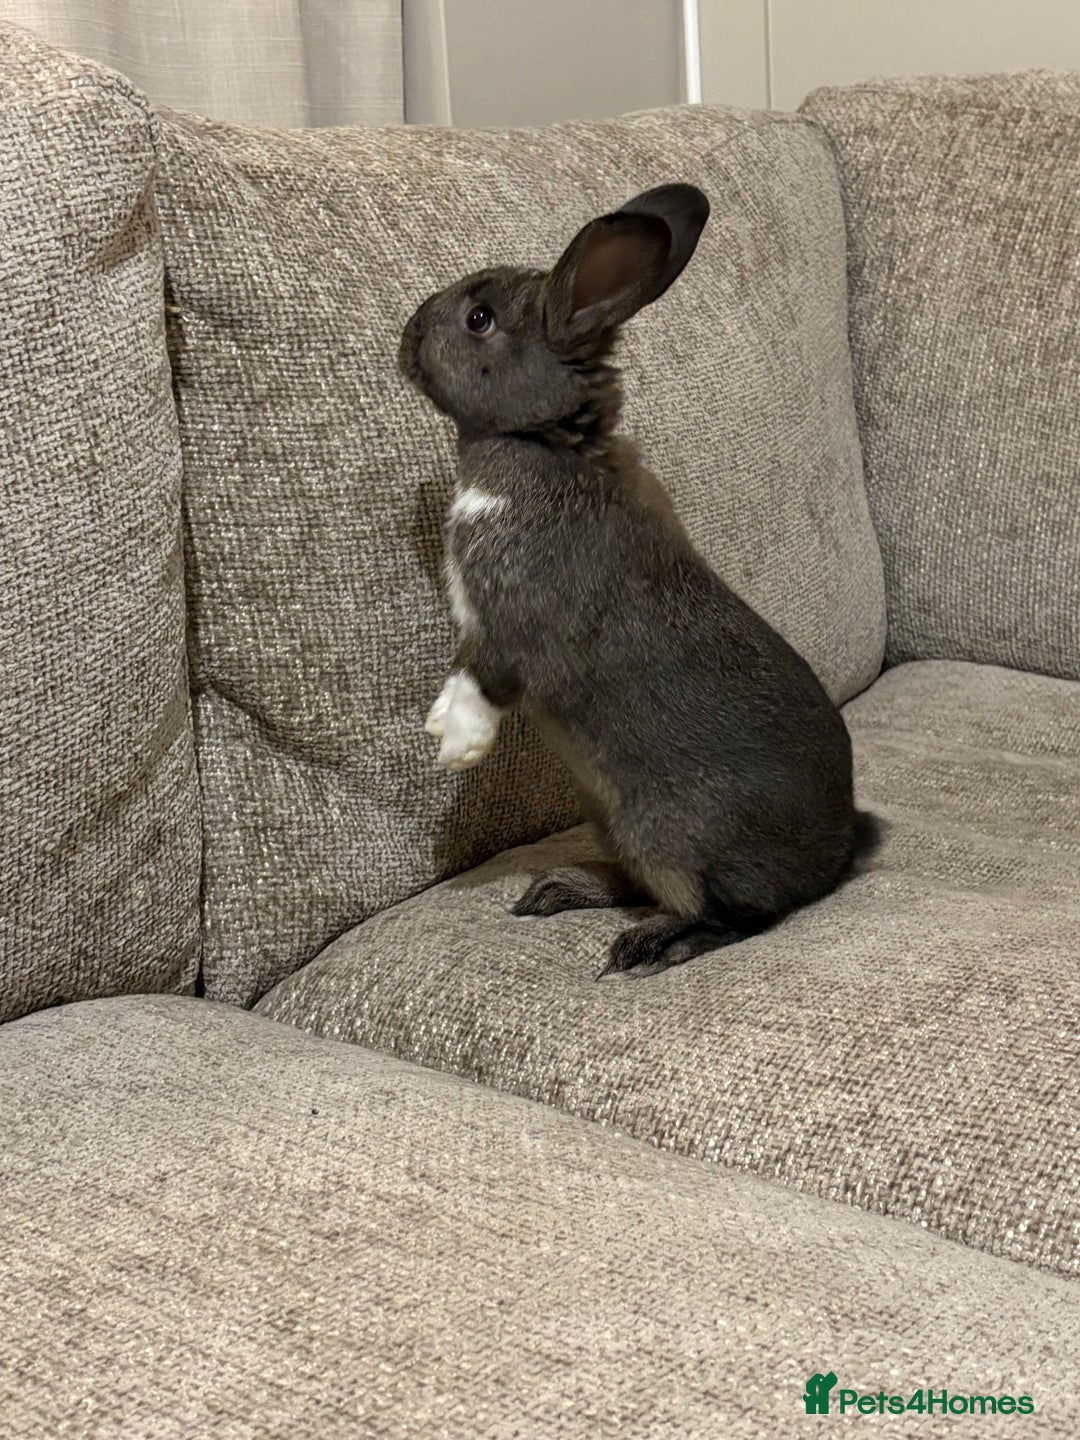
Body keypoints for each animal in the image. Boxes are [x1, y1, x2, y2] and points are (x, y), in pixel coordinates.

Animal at [398, 183, 880, 979]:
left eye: (479, 319)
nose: (406, 335)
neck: (546, 445)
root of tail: (836, 856)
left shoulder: (520, 622)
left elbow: (486, 673)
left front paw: (454, 740)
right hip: (614, 817)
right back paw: (560, 886)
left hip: (665, 831)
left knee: (725, 915)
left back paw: (647, 946)